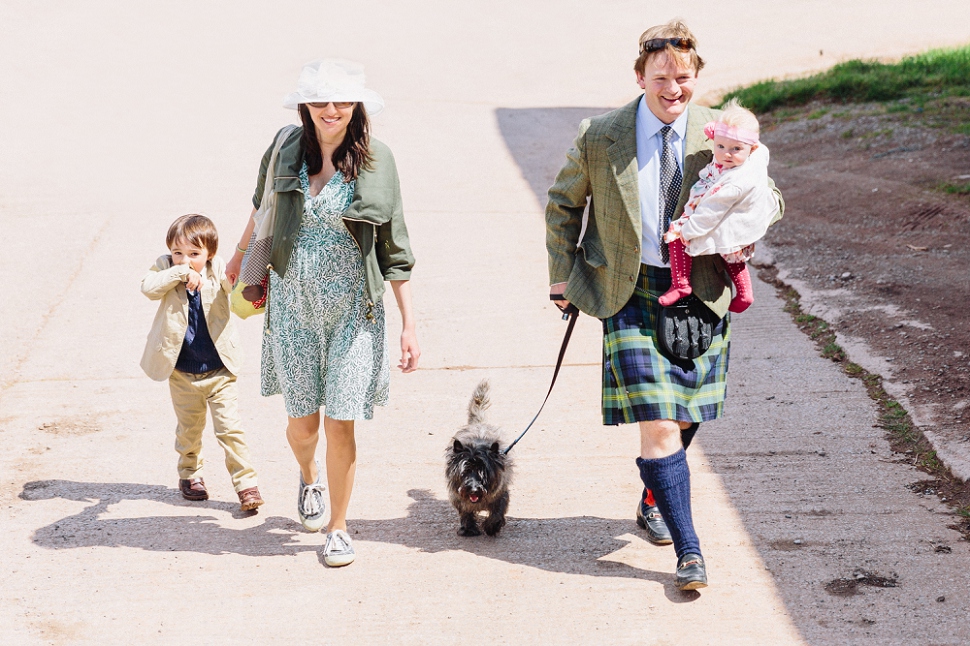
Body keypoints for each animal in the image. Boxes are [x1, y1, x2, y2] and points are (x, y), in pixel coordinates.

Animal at [442, 380, 510, 536]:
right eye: (464, 472)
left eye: (483, 473)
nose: (473, 490)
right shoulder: (458, 498)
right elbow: (465, 511)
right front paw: (469, 528)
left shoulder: (501, 493)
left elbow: (497, 512)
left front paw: (491, 526)